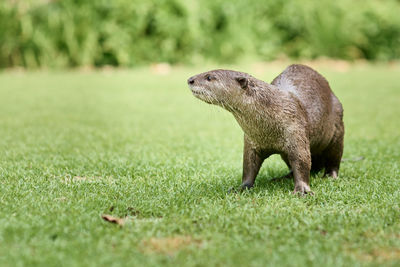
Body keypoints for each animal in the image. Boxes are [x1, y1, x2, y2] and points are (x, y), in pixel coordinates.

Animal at [187, 64, 344, 196]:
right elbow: (248, 167)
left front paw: (302, 190)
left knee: (334, 157)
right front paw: (241, 188)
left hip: (337, 129)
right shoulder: (250, 142)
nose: (190, 80)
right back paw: (283, 177)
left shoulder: (296, 132)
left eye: (209, 77)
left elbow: (302, 161)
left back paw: (330, 176)